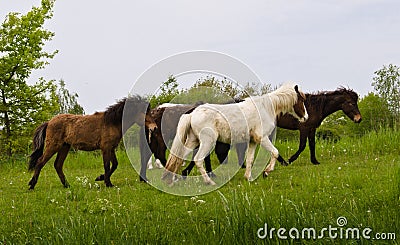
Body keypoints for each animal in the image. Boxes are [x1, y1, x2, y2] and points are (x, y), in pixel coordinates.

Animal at [27, 95, 156, 189]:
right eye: (145, 112)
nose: (154, 127)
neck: (112, 122)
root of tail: (49, 122)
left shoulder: (111, 148)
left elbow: (114, 165)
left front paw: (101, 178)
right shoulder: (106, 148)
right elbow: (107, 165)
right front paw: (107, 183)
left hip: (64, 147)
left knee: (58, 165)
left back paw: (67, 185)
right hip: (53, 146)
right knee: (40, 162)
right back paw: (32, 185)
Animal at [162, 83, 310, 185]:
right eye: (301, 100)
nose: (306, 117)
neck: (266, 107)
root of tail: (192, 113)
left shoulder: (253, 141)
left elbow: (250, 159)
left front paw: (248, 177)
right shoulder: (262, 138)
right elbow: (275, 152)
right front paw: (267, 172)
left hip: (193, 141)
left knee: (178, 156)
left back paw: (173, 181)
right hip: (207, 142)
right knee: (198, 159)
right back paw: (209, 182)